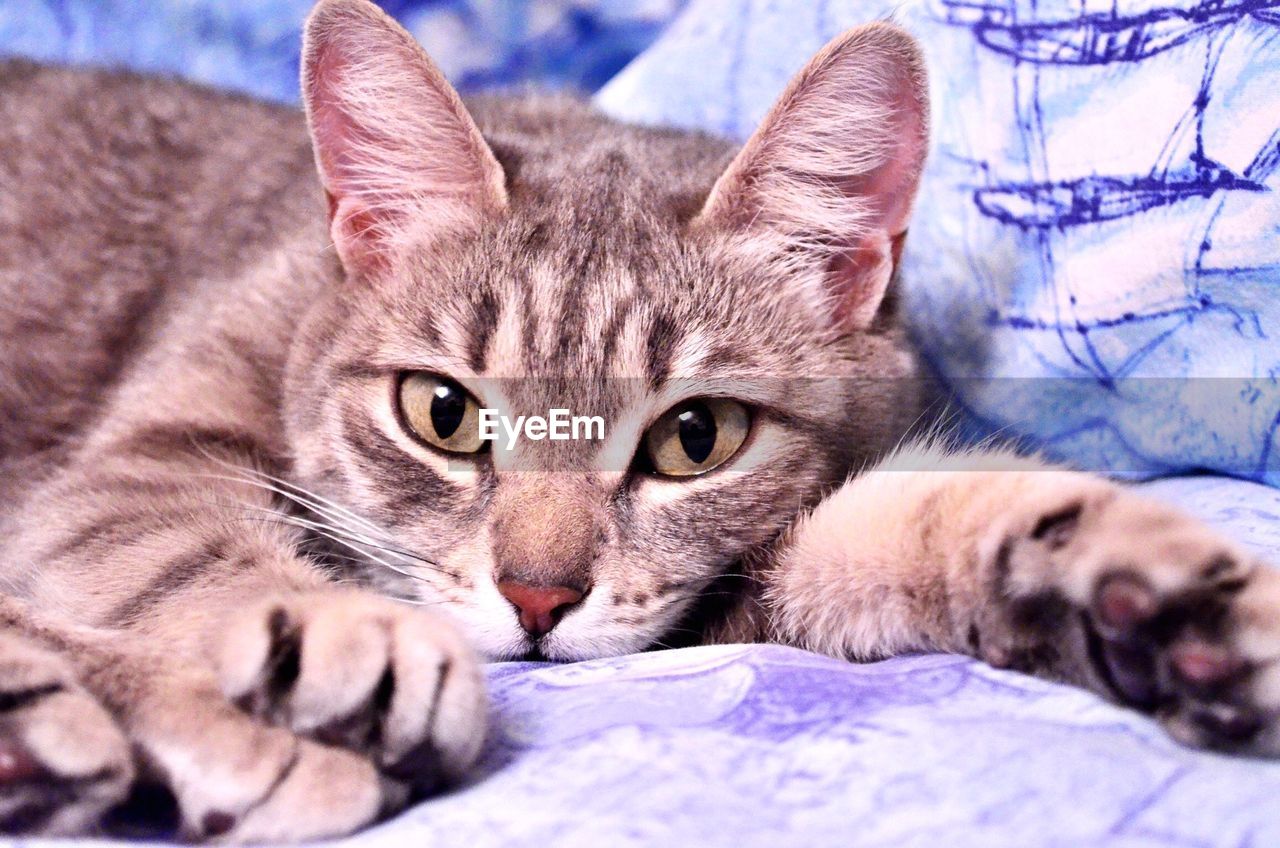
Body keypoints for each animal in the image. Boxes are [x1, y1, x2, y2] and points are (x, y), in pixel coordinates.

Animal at [2, 0, 1280, 840]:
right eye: (441, 413)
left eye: (694, 438)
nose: (535, 598)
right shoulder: (129, 475)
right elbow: (190, 551)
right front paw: (340, 636)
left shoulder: (743, 576)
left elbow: (900, 522)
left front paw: (1132, 584)